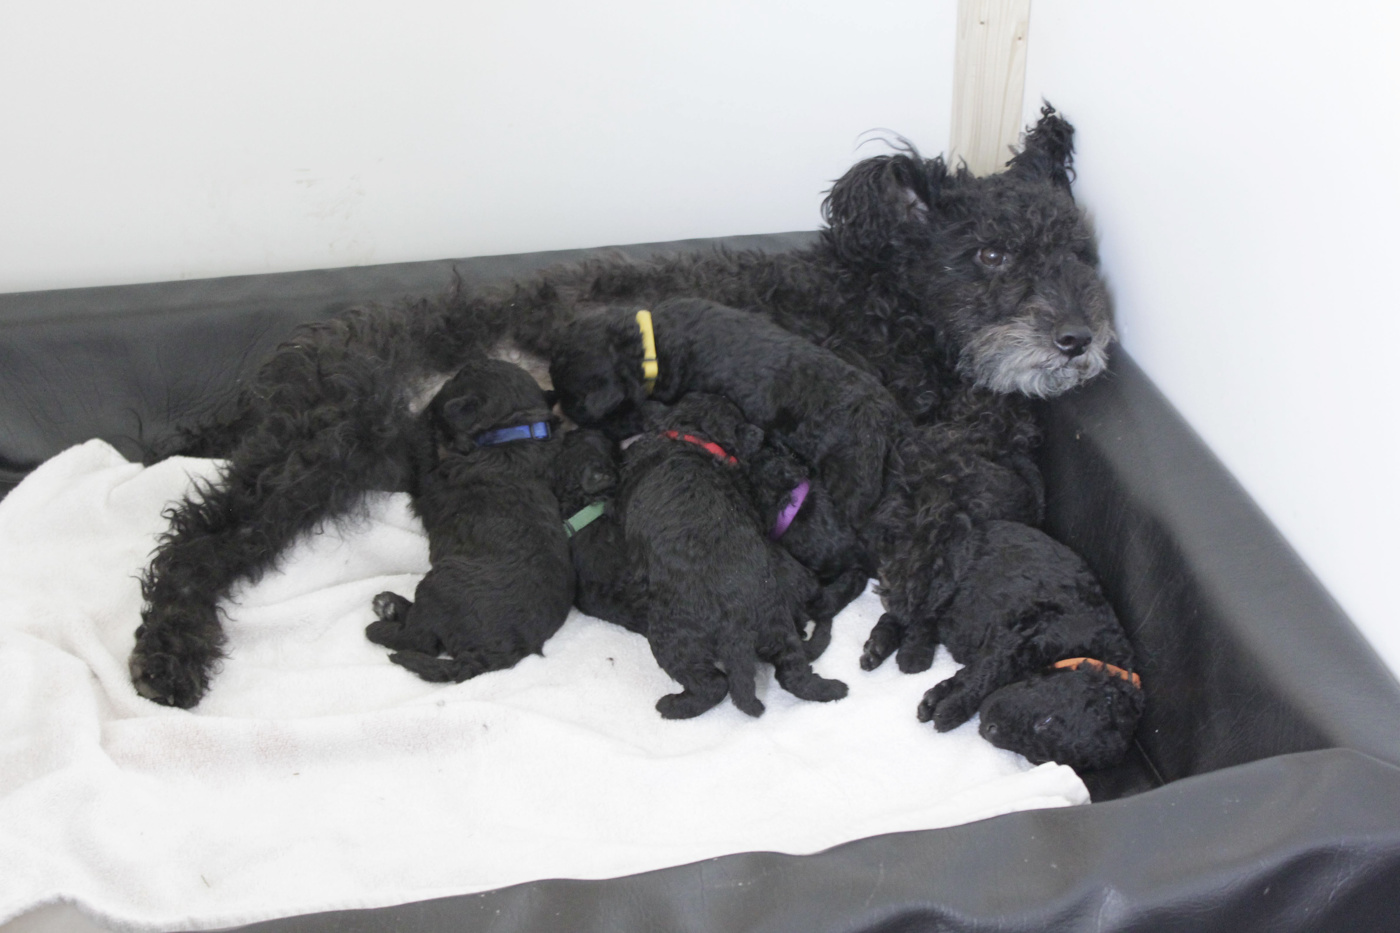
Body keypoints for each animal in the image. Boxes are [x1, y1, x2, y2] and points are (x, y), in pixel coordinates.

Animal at [364, 356, 574, 683]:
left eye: (457, 378)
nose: (433, 400)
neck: (514, 431)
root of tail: (493, 656)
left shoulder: (432, 481)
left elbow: (424, 450)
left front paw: (423, 417)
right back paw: (389, 606)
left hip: (440, 583)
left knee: (421, 639)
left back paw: (381, 622)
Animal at [607, 393, 847, 718]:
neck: (694, 438)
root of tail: (738, 628)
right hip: (779, 624)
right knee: (794, 674)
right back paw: (833, 689)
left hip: (672, 637)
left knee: (714, 685)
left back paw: (673, 706)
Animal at [909, 520, 1143, 771]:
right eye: (1046, 720)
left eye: (1037, 759)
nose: (989, 730)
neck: (1086, 651)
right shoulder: (1018, 638)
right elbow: (985, 676)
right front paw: (951, 710)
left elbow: (970, 673)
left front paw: (938, 698)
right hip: (951, 576)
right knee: (924, 615)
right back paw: (915, 653)